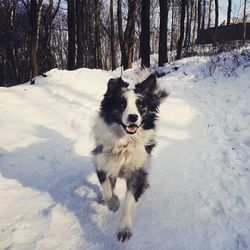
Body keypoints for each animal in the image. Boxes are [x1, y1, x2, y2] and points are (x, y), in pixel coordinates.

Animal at [92, 72, 168, 242]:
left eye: (141, 105)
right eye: (122, 104)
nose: (133, 117)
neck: (125, 141)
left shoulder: (138, 169)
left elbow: (129, 200)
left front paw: (124, 228)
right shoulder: (102, 160)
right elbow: (107, 188)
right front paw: (113, 203)